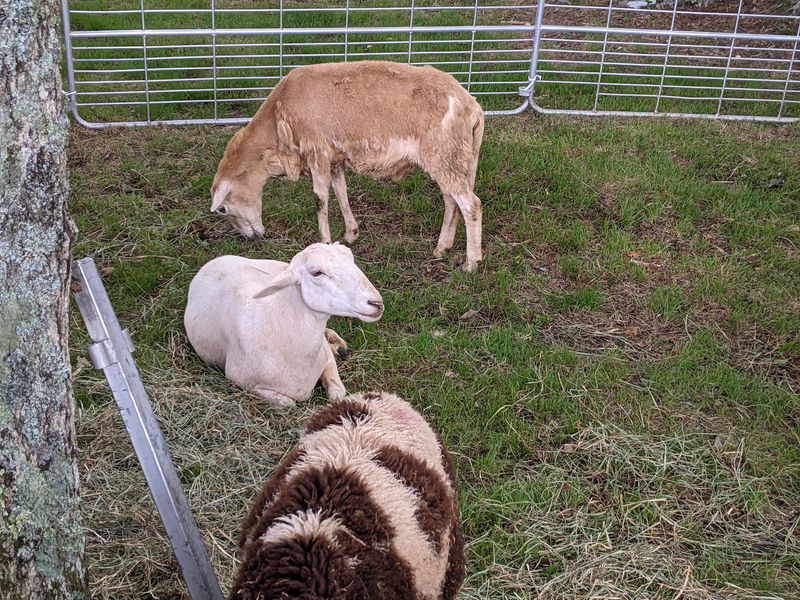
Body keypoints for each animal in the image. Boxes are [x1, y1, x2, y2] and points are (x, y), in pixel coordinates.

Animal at [183, 243, 383, 407]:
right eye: (316, 272)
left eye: (351, 258)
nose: (377, 303)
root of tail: (214, 261)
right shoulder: (242, 381)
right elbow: (288, 403)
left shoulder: (324, 357)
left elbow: (338, 394)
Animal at [210, 60, 485, 272]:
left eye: (222, 209)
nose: (251, 238)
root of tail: (473, 108)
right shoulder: (334, 158)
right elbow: (340, 191)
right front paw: (350, 234)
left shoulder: (317, 152)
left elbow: (320, 198)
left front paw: (323, 241)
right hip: (455, 159)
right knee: (451, 202)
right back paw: (441, 248)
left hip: (444, 155)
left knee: (471, 205)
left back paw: (471, 263)